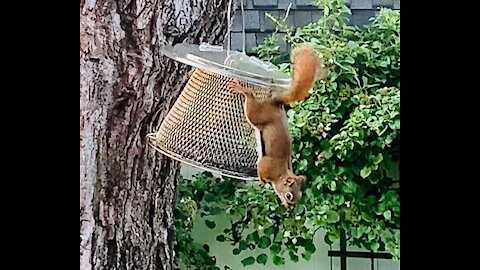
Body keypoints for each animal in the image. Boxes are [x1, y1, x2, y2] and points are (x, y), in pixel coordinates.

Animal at [228, 44, 326, 209]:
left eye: (299, 197)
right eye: (289, 195)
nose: (290, 209)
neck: (281, 174)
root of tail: (275, 103)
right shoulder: (265, 165)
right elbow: (262, 174)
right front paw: (261, 183)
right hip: (257, 115)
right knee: (251, 102)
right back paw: (243, 90)